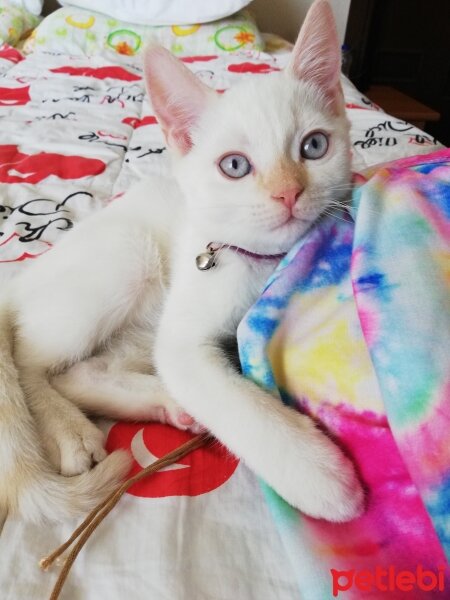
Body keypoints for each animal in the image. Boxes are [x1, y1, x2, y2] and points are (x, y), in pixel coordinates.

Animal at [0, 0, 364, 524]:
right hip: (127, 253)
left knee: (85, 370)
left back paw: (164, 404)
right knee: (29, 359)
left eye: (314, 146)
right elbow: (230, 400)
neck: (259, 262)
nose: (288, 192)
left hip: (146, 315)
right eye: (235, 166)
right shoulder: (185, 336)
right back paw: (69, 430)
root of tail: (22, 277)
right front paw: (319, 476)